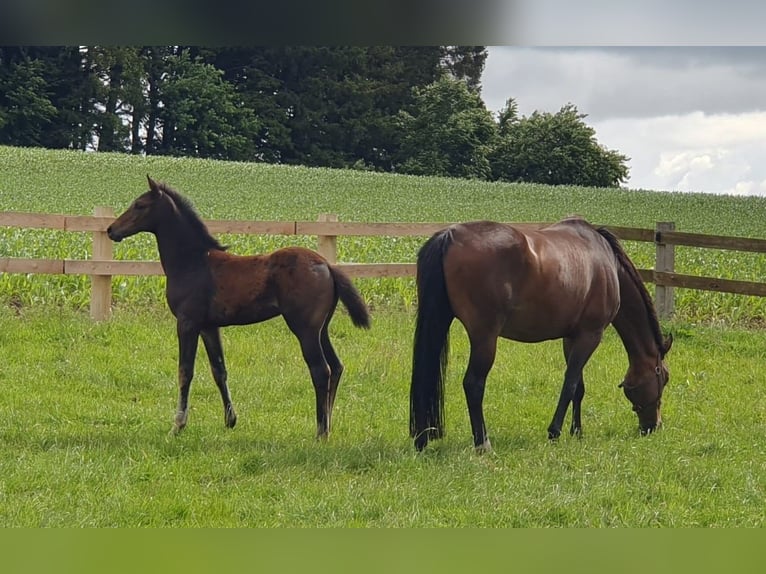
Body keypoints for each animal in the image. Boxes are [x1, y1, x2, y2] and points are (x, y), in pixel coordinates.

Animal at [107, 178, 372, 438]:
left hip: (305, 329)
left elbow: (185, 372)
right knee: (336, 367)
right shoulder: (209, 327)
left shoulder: (187, 322)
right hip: (321, 329)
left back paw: (321, 432)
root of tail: (327, 265)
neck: (193, 262)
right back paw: (329, 425)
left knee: (321, 370)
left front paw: (178, 425)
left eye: (140, 205)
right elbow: (219, 370)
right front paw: (230, 420)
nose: (111, 230)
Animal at [412, 218, 676, 452]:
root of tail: (450, 235)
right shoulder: (591, 335)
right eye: (664, 377)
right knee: (473, 385)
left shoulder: (572, 337)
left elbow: (579, 387)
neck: (606, 262)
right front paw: (555, 432)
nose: (653, 426)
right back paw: (483, 443)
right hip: (484, 339)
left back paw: (422, 440)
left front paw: (577, 432)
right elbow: (570, 384)